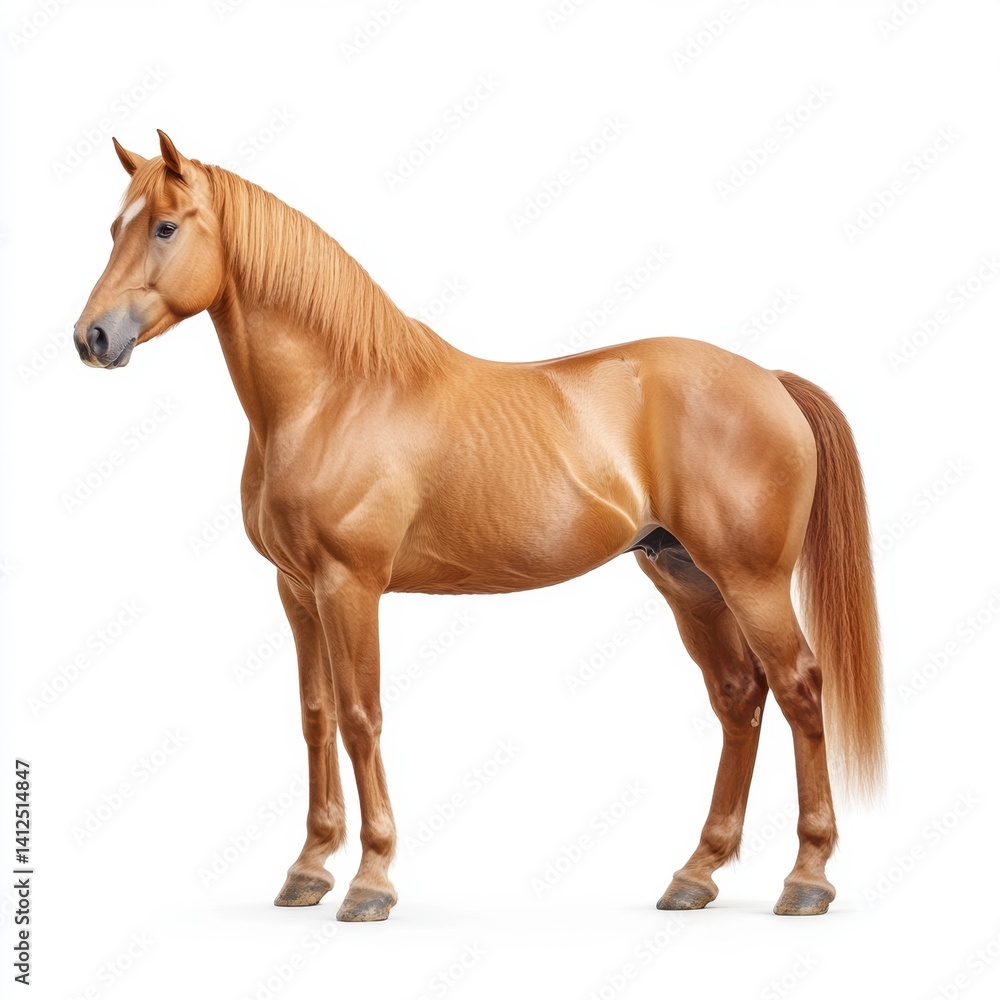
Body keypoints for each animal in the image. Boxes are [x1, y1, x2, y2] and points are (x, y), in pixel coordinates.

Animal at [74, 130, 883, 922]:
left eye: (166, 226)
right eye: (116, 226)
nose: (93, 338)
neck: (334, 396)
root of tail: (769, 380)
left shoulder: (349, 586)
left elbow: (362, 715)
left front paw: (371, 881)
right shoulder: (297, 590)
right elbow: (315, 715)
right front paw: (308, 869)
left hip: (752, 581)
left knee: (799, 688)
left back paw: (807, 879)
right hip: (685, 578)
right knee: (739, 697)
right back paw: (697, 874)